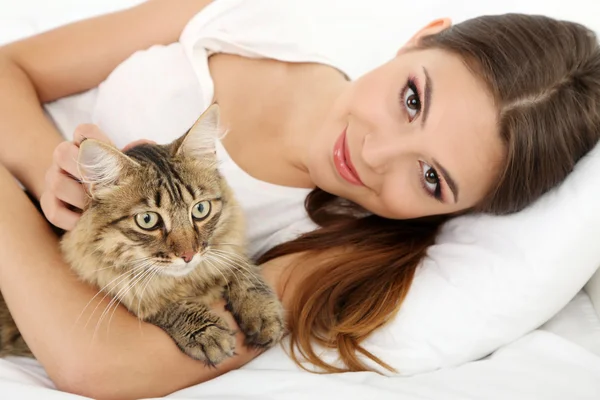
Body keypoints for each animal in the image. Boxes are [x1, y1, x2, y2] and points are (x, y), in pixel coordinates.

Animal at [0, 104, 286, 366]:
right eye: (147, 220)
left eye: (200, 209)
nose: (189, 255)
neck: (189, 282)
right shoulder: (120, 289)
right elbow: (157, 304)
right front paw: (207, 333)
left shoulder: (224, 249)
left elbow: (241, 269)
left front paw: (263, 313)